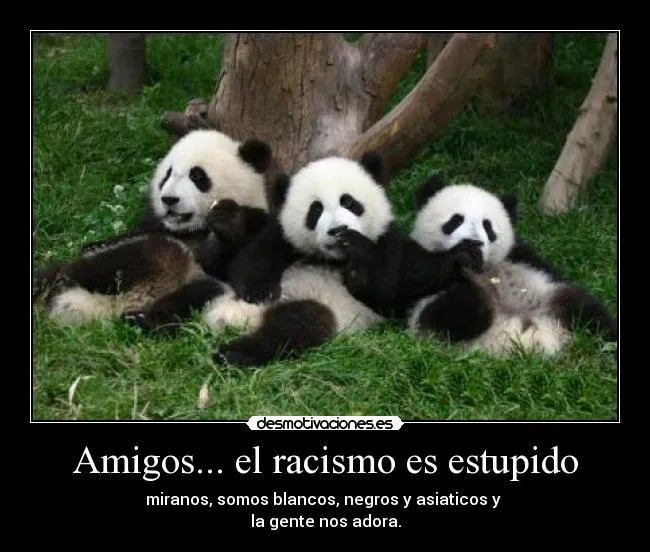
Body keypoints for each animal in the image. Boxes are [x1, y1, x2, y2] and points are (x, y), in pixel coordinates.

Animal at [33, 129, 273, 331]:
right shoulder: (153, 225)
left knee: (184, 281)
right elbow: (128, 234)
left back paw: (140, 319)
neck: (190, 230)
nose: (169, 199)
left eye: (197, 176)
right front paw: (93, 244)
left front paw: (228, 221)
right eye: (167, 175)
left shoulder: (257, 227)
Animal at [202, 152, 480, 367]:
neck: (334, 260)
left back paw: (235, 353)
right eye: (316, 210)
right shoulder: (282, 236)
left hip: (321, 309)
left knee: (296, 326)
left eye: (349, 202)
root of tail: (233, 319)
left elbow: (390, 288)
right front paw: (258, 289)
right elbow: (249, 259)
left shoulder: (388, 243)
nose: (337, 230)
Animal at [405, 175, 618, 356]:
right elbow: (452, 313)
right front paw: (463, 269)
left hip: (552, 298)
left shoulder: (522, 257)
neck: (481, 270)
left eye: (487, 226)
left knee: (588, 312)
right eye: (455, 220)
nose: (473, 242)